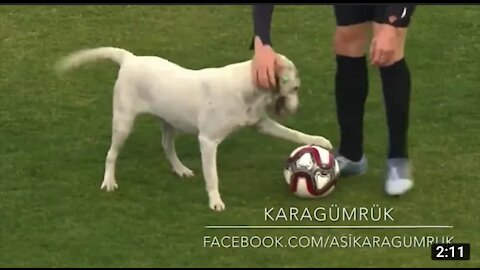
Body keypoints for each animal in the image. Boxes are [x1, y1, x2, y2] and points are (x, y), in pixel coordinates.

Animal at [56, 47, 332, 212]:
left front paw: (321, 141)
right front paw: (215, 201)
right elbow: (213, 176)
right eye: (295, 88)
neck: (249, 89)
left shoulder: (262, 125)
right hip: (123, 124)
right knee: (111, 155)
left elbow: (295, 135)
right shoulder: (208, 141)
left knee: (167, 146)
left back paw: (180, 169)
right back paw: (109, 181)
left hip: (169, 122)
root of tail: (130, 58)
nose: (298, 108)